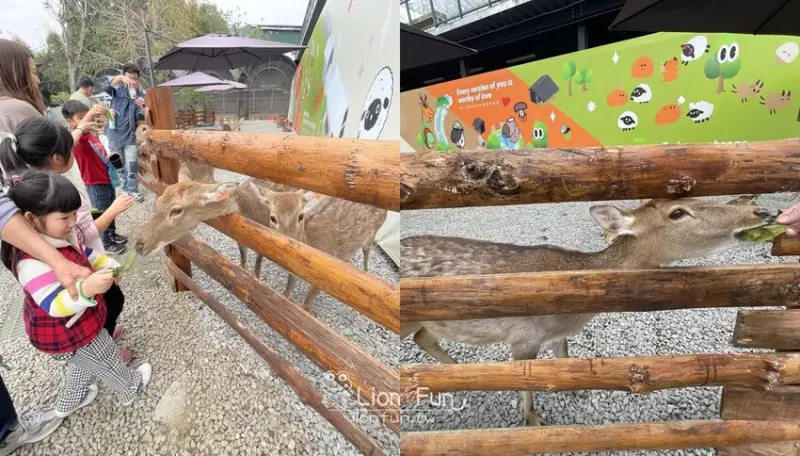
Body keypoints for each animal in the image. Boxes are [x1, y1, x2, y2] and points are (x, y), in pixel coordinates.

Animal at [400, 196, 774, 427]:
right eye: (678, 213)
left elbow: (564, 358)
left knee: (424, 337)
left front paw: (579, 389)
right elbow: (527, 385)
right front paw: (534, 420)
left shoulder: (556, 335)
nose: (759, 211)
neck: (574, 311)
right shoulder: (524, 337)